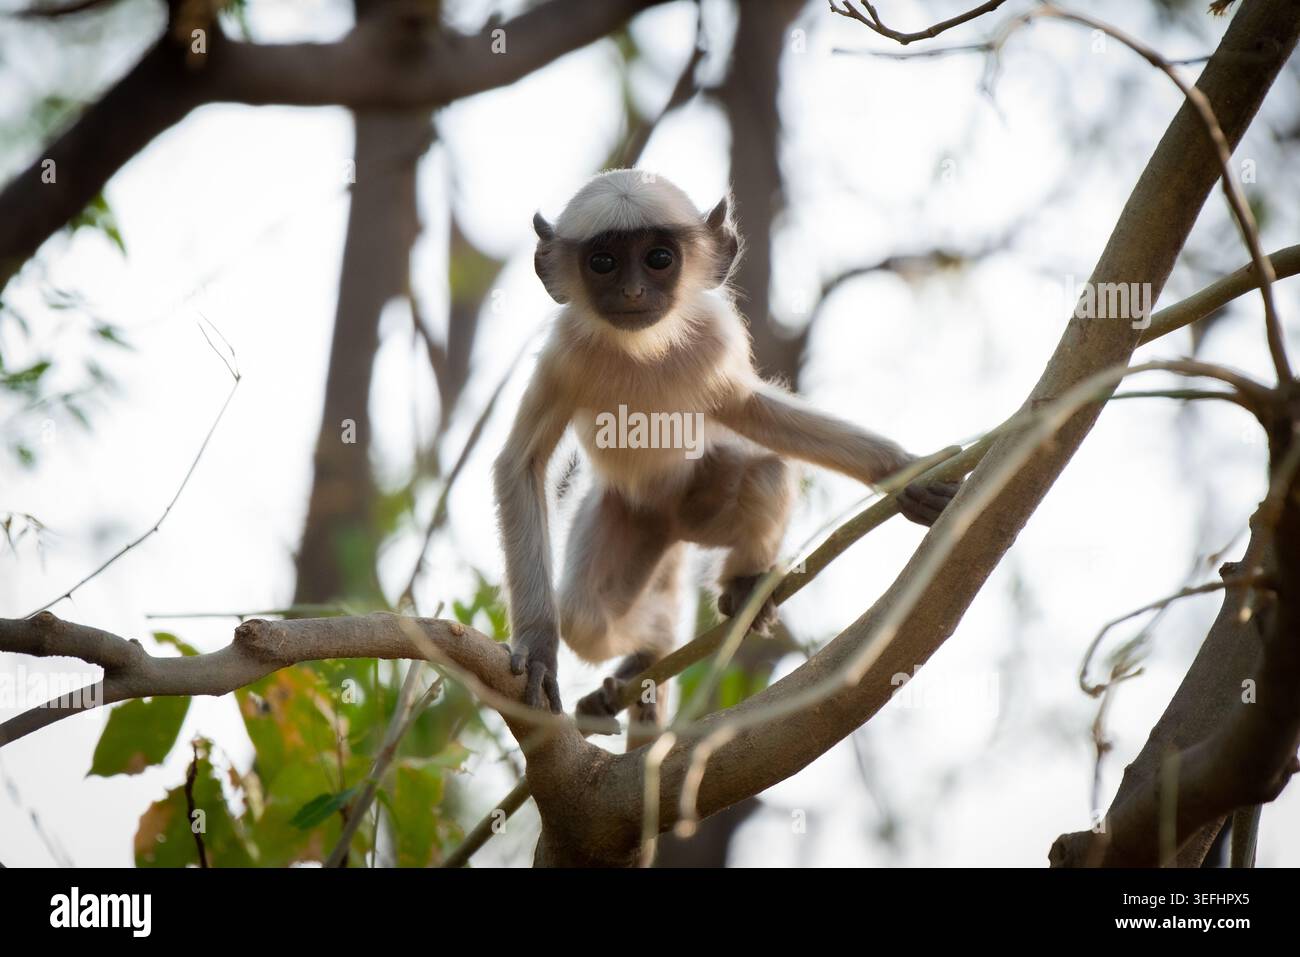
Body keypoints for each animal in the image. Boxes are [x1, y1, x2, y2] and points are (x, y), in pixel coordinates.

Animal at [493, 169, 960, 726]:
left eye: (659, 258)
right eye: (602, 262)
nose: (632, 290)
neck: (642, 349)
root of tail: (670, 525)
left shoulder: (716, 339)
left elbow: (749, 411)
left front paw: (907, 472)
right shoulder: (563, 355)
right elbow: (520, 466)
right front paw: (539, 652)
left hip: (698, 510)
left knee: (766, 471)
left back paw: (742, 587)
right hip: (626, 518)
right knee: (587, 617)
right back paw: (646, 655)